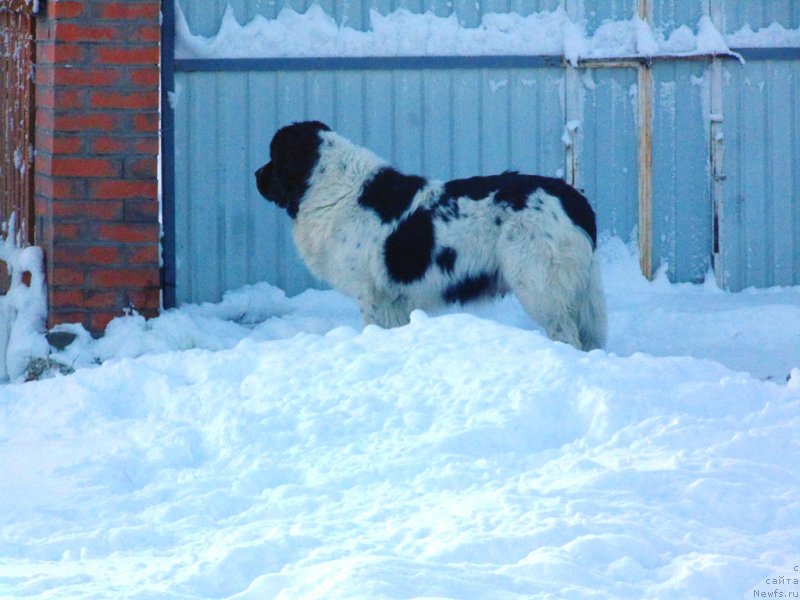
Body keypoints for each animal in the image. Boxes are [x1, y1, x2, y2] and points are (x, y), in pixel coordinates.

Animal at [256, 119, 608, 350]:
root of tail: (574, 199)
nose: (256, 174)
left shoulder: (371, 293)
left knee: (565, 334)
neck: (332, 188)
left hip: (539, 285)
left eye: (273, 157)